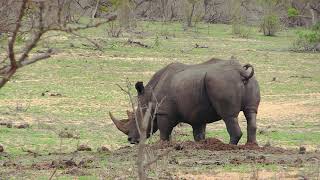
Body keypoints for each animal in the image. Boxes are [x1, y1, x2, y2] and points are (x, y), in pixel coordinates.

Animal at [110, 57, 260, 145]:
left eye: (135, 119)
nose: (130, 140)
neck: (148, 97)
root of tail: (242, 72)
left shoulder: (163, 112)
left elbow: (164, 132)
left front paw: (162, 146)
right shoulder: (198, 114)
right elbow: (198, 134)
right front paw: (201, 145)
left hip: (222, 82)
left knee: (229, 116)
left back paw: (229, 147)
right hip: (249, 81)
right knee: (251, 113)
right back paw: (251, 146)